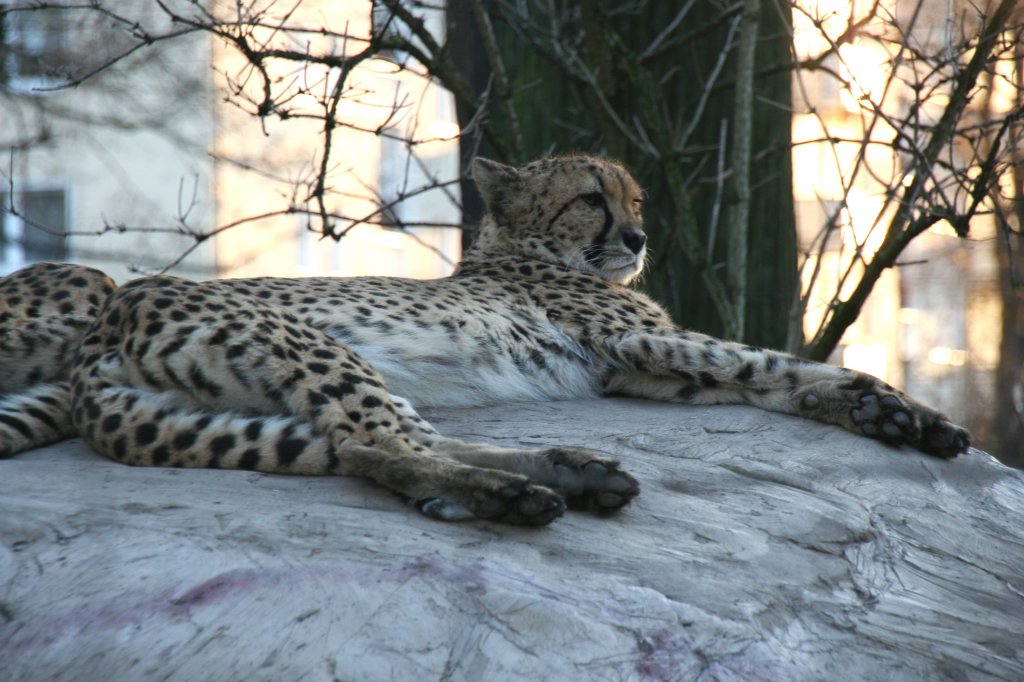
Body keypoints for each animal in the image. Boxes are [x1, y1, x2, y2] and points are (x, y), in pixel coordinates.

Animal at [0, 155, 966, 524]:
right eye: (592, 198)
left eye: (637, 198)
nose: (640, 237)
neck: (521, 248)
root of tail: (100, 345)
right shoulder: (644, 349)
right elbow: (771, 361)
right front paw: (896, 409)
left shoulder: (636, 371)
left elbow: (773, 375)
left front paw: (890, 416)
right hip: (310, 344)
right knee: (371, 444)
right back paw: (507, 496)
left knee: (382, 439)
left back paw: (568, 473)